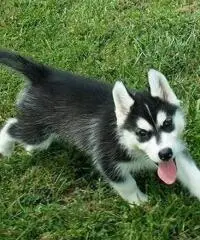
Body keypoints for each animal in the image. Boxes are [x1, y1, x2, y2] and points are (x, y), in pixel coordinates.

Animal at [0, 50, 200, 204]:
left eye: (167, 123)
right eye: (141, 133)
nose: (165, 153)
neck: (125, 140)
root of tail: (43, 75)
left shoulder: (176, 151)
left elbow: (191, 173)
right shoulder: (106, 159)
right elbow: (126, 184)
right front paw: (138, 201)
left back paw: (28, 149)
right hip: (37, 131)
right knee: (11, 126)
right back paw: (5, 147)